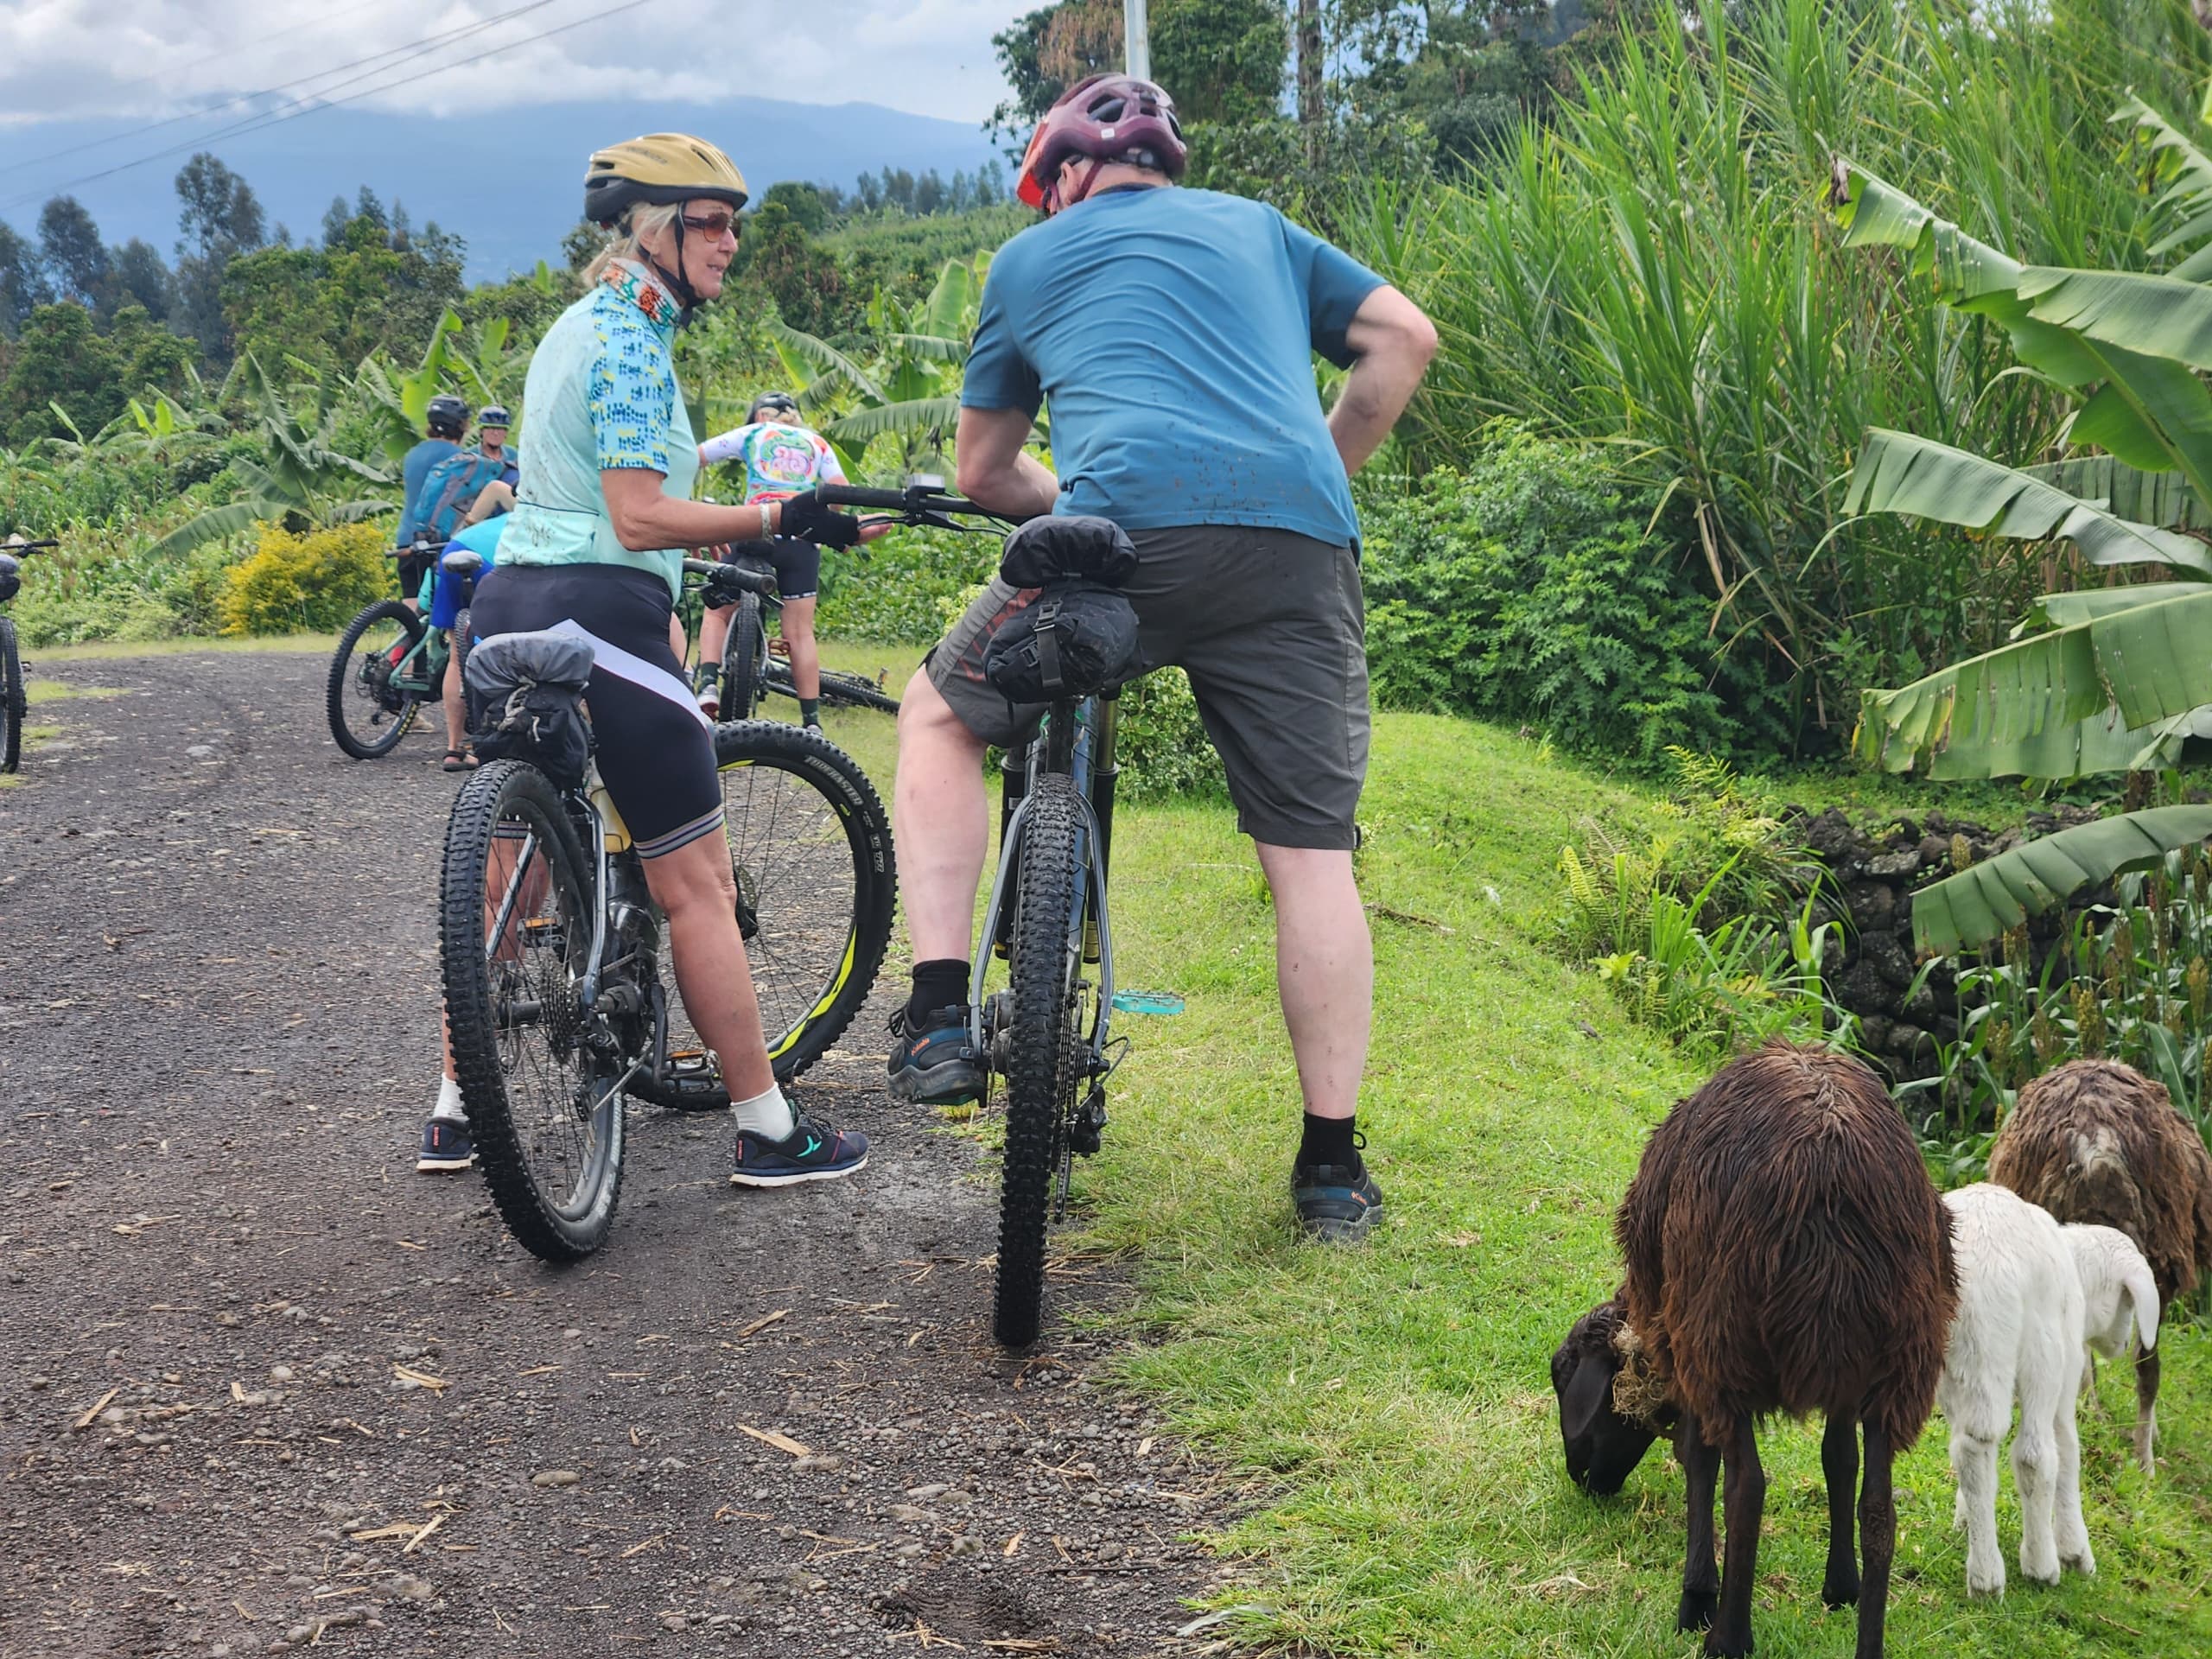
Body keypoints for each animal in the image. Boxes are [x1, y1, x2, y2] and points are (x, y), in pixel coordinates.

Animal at [1557, 1044, 1955, 1654]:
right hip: (1901, 1358)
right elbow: (1840, 1460)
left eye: (1561, 1374)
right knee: (1879, 1511)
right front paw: (1841, 1588)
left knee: (1747, 1488)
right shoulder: (1846, 1384)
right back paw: (1868, 1645)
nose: (1582, 1478)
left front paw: (1697, 1597)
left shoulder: (1684, 1343)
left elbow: (1698, 1457)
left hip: (1724, 1338)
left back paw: (1727, 1638)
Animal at [1937, 1185, 2088, 1601]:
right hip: (2044, 1349)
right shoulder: (2069, 1369)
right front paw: (2075, 1550)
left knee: (1971, 1446)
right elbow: (2068, 1447)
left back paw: (1984, 1571)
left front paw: (1964, 1517)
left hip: (1971, 1349)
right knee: (2035, 1454)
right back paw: (2037, 1566)